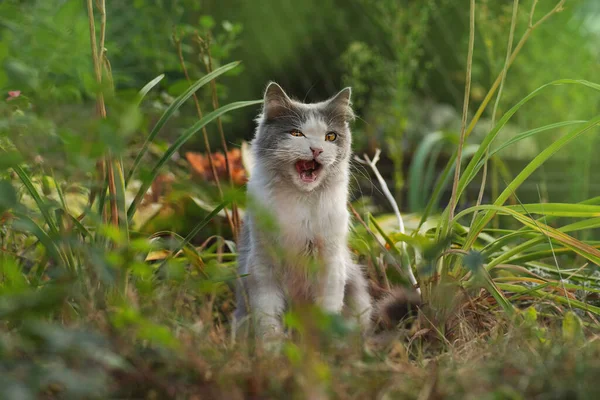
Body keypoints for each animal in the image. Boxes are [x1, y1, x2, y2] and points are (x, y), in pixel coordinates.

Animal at [233, 83, 370, 340]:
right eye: (296, 134)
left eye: (330, 136)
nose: (316, 150)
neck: (300, 199)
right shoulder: (262, 265)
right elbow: (269, 322)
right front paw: (272, 348)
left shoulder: (330, 263)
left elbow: (326, 315)